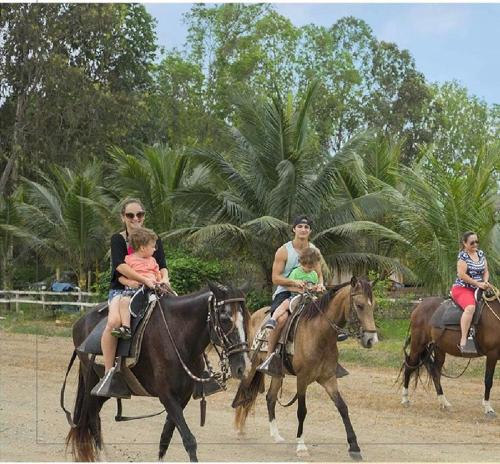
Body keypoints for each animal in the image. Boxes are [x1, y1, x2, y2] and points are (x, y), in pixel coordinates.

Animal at [64, 280, 252, 462]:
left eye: (246, 319)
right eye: (225, 318)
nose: (242, 367)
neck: (178, 335)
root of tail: (80, 322)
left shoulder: (182, 397)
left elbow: (165, 437)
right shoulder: (166, 396)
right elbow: (189, 439)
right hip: (92, 380)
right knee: (92, 417)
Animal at [232, 276, 376, 460]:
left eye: (374, 305)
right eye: (359, 305)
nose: (371, 339)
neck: (319, 334)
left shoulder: (328, 378)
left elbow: (343, 407)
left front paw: (354, 447)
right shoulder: (302, 379)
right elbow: (302, 411)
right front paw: (301, 446)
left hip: (277, 373)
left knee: (270, 398)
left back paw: (276, 436)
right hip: (252, 365)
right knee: (244, 391)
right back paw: (239, 430)